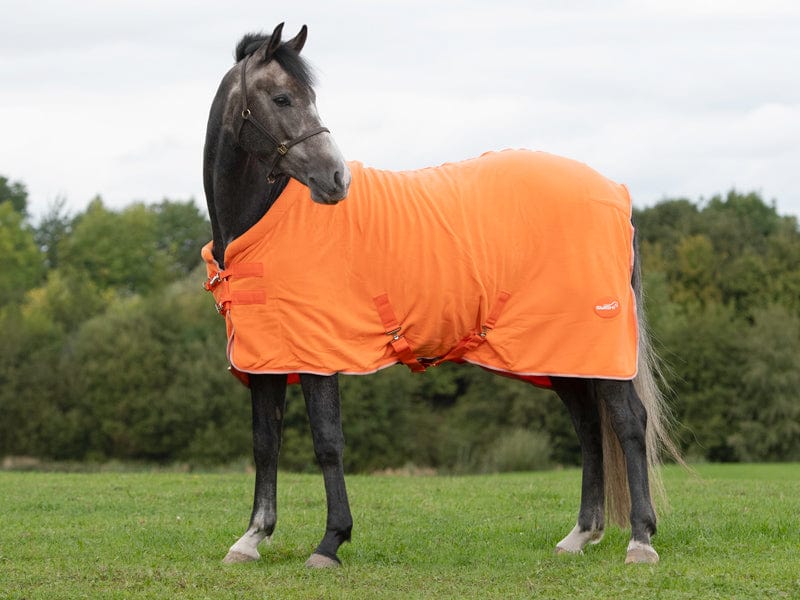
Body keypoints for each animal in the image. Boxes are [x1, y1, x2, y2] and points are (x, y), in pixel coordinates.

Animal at [202, 23, 681, 568]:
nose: (336, 179)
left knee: (628, 423)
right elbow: (265, 443)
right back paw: (580, 535)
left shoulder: (318, 355)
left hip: (597, 348)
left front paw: (330, 542)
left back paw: (640, 540)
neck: (265, 223)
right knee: (588, 428)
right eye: (282, 98)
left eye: (310, 98)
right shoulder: (267, 358)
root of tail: (617, 193)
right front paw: (251, 538)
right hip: (564, 355)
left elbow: (327, 442)